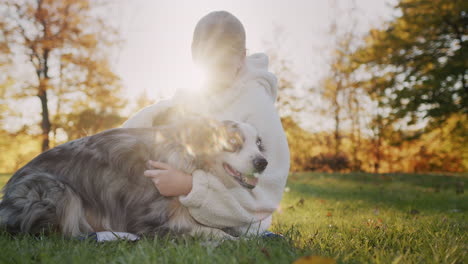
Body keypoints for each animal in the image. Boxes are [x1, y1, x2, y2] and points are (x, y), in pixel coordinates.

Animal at [0, 114, 266, 239]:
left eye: (258, 144)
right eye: (233, 142)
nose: (263, 162)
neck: (188, 156)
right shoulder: (155, 221)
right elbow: (213, 232)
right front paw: (237, 240)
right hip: (57, 191)